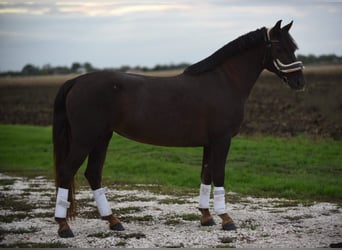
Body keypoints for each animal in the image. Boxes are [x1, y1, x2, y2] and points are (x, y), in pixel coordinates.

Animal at [53, 20, 304, 237]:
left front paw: (206, 217)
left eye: (294, 47)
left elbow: (206, 175)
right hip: (85, 138)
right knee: (67, 172)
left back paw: (114, 221)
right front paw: (226, 219)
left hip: (102, 137)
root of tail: (76, 81)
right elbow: (219, 175)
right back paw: (64, 226)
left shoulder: (209, 143)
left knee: (93, 173)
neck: (224, 81)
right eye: (280, 47)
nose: (300, 82)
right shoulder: (222, 140)